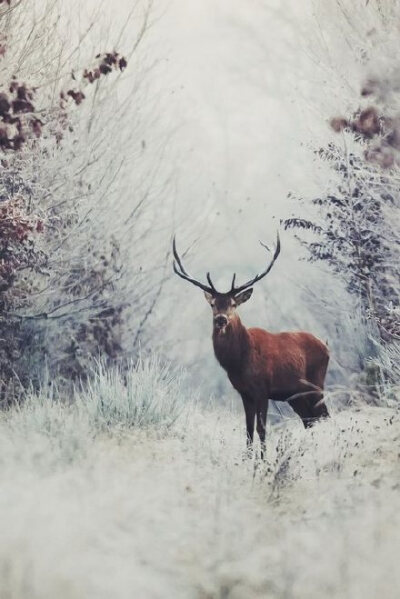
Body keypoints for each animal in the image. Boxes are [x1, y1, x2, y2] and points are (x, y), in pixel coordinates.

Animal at [173, 234, 330, 460]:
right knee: (310, 420)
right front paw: (248, 460)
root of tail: (326, 346)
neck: (239, 362)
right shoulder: (244, 392)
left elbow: (261, 429)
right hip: (295, 396)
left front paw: (263, 462)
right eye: (213, 304)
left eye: (233, 303)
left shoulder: (263, 388)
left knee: (324, 416)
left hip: (316, 383)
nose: (221, 319)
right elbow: (248, 430)